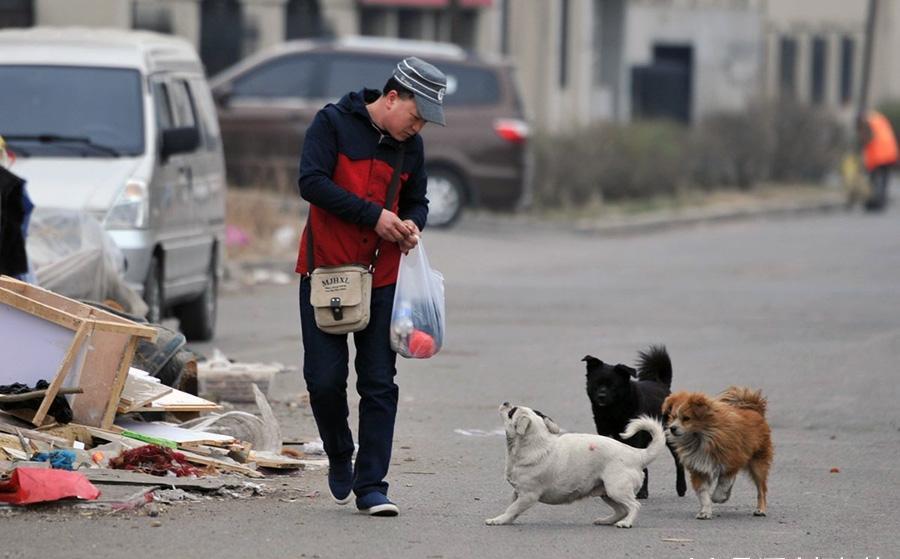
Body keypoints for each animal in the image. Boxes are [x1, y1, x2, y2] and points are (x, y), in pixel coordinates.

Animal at [486, 402, 668, 528]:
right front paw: (503, 519)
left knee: (634, 505)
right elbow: (512, 508)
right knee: (622, 510)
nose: (506, 402)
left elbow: (512, 509)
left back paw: (626, 523)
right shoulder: (517, 493)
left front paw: (499, 520)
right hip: (607, 493)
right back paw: (606, 521)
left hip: (616, 489)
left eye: (511, 412)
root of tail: (637, 454)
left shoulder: (528, 496)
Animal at [580, 346, 684, 498]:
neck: (613, 411)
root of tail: (661, 385)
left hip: (669, 435)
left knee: (678, 460)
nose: (601, 396)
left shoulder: (635, 438)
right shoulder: (604, 432)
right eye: (596, 383)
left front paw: (641, 491)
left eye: (613, 385)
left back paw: (681, 487)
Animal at [660, 390, 772, 520]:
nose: (672, 428)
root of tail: (755, 410)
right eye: (673, 417)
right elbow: (703, 494)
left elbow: (724, 483)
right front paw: (705, 511)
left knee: (761, 489)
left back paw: (760, 509)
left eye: (686, 418)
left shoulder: (731, 461)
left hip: (758, 464)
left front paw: (718, 497)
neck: (700, 438)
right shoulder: (698, 469)